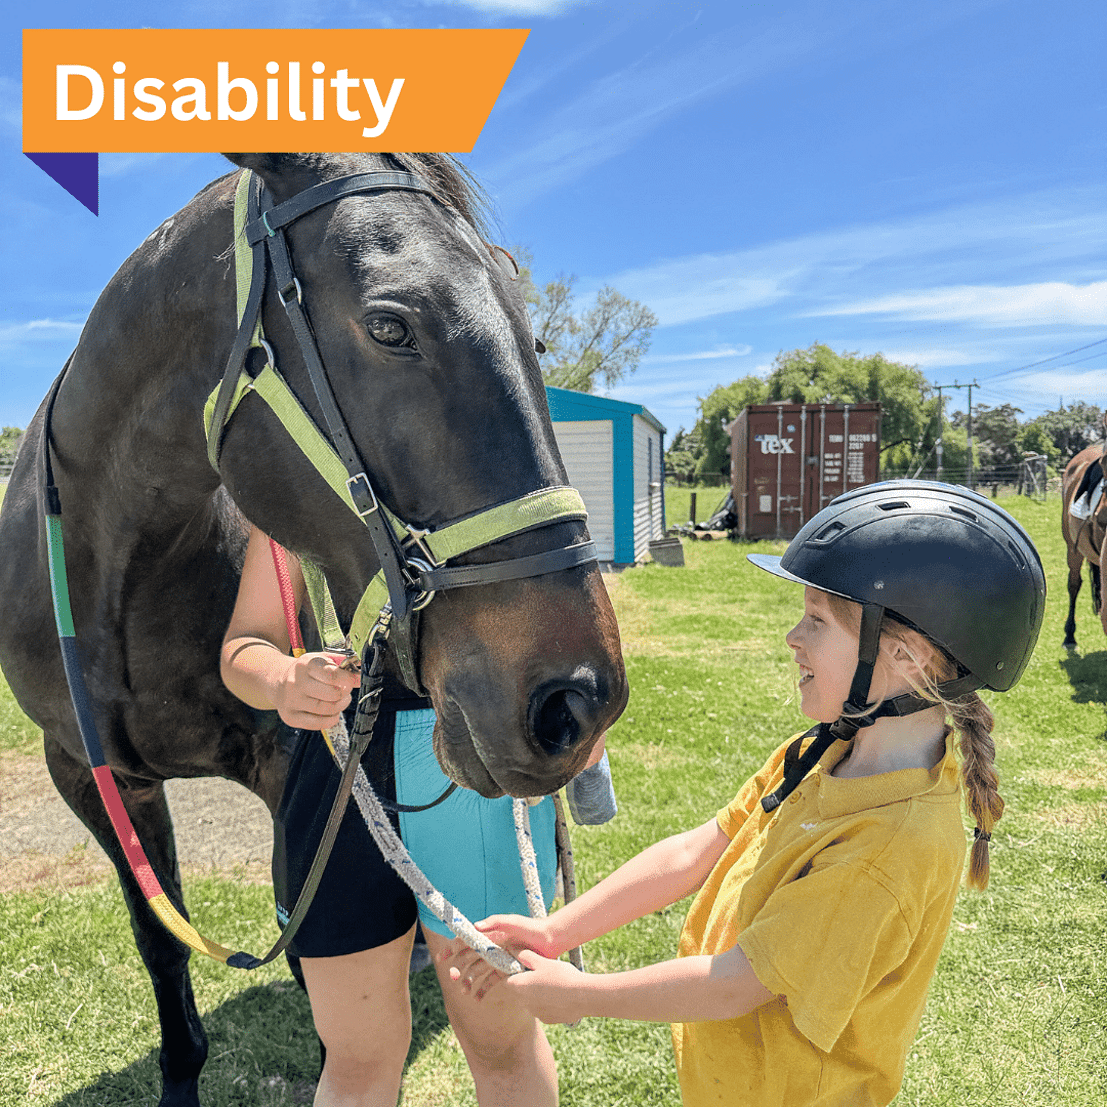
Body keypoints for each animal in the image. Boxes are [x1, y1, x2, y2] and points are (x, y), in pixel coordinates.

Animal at [0, 152, 628, 1107]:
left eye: (537, 341)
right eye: (389, 325)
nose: (579, 697)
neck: (122, 570)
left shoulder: (286, 766)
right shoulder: (88, 772)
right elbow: (162, 941)